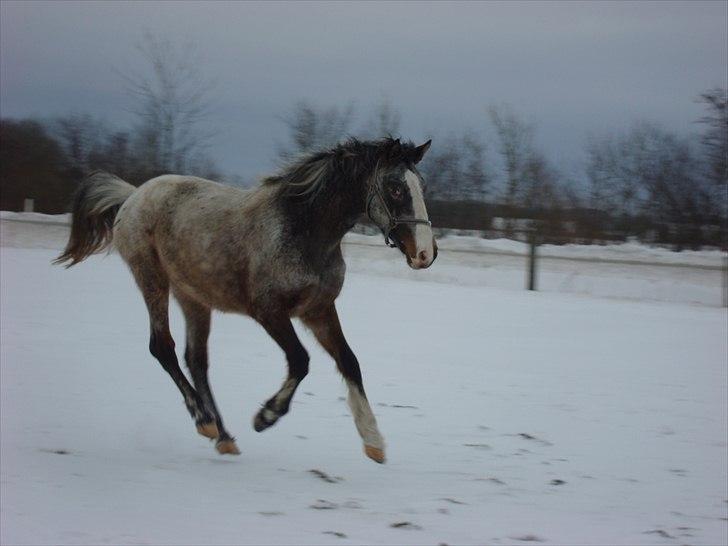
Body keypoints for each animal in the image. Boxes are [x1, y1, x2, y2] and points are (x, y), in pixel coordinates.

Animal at [57, 138, 436, 462]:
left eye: (422, 186)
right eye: (396, 188)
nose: (425, 254)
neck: (304, 231)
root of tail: (133, 194)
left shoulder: (318, 310)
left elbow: (349, 362)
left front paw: (374, 443)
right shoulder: (269, 311)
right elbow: (300, 361)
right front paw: (265, 416)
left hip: (193, 297)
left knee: (196, 359)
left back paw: (223, 436)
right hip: (152, 280)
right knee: (162, 347)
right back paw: (204, 420)